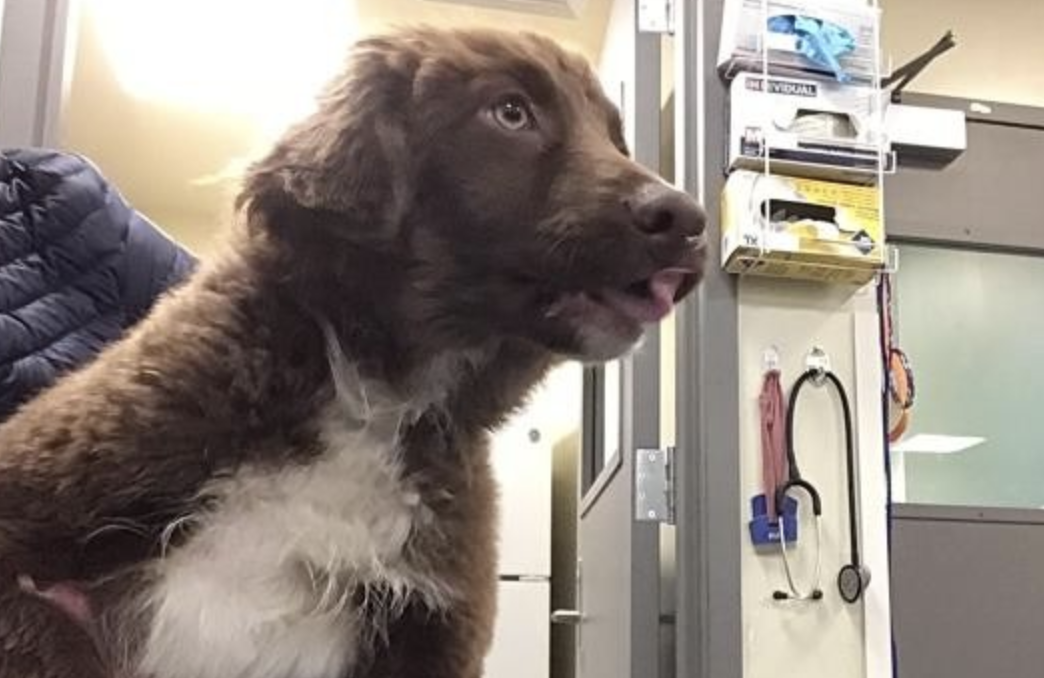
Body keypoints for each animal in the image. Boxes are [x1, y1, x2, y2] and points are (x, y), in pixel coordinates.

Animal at [0, 27, 705, 678]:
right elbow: (47, 641)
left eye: (616, 138)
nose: (689, 221)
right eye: (510, 112)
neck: (375, 399)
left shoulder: (432, 633)